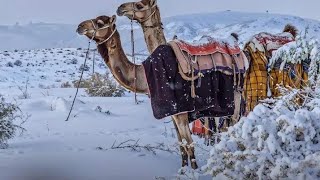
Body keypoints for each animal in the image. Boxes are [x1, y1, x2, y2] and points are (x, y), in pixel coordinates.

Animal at [76, 15, 199, 169]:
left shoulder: (181, 109)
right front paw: (183, 170)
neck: (146, 75)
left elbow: (189, 144)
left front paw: (194, 171)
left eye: (99, 23)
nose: (80, 26)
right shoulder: (173, 110)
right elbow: (181, 144)